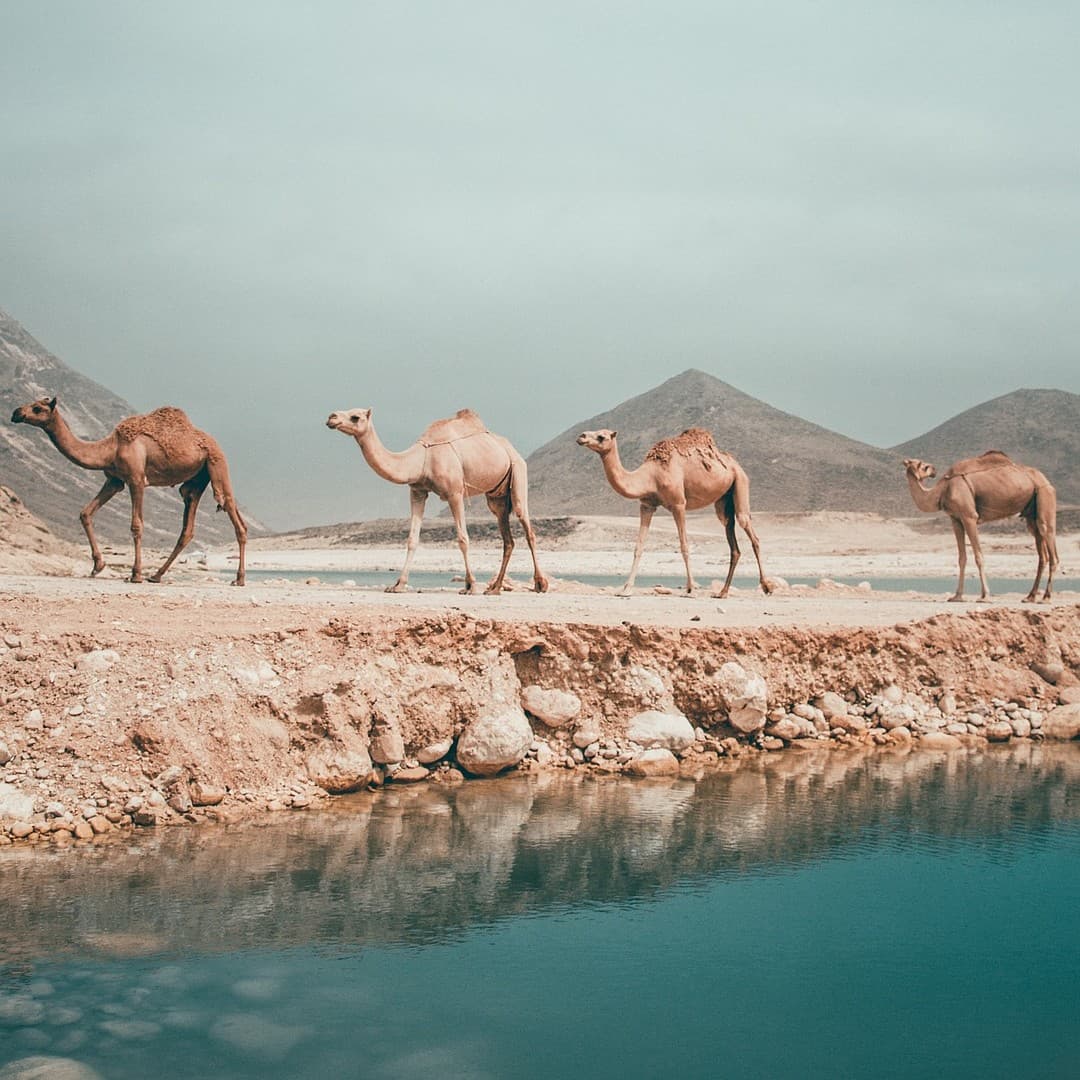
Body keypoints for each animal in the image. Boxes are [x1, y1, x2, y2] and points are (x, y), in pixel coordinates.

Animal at [10, 395, 247, 583]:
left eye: (37, 408)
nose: (15, 412)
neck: (111, 448)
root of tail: (215, 443)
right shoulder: (115, 481)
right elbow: (85, 512)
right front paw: (98, 566)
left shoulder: (136, 479)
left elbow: (136, 526)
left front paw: (135, 574)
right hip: (196, 480)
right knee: (188, 526)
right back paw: (157, 576)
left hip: (217, 465)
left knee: (232, 511)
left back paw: (239, 579)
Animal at [324, 406, 548, 596]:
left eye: (355, 417)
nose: (331, 417)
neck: (423, 459)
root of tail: (510, 448)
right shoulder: (417, 491)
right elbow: (412, 539)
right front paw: (398, 585)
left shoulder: (455, 492)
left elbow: (463, 538)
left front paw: (471, 585)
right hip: (497, 498)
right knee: (507, 539)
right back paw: (494, 589)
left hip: (518, 471)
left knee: (526, 525)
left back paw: (540, 584)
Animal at [578, 425, 773, 600]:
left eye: (601, 437)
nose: (581, 436)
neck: (652, 475)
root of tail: (734, 464)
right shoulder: (647, 505)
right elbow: (638, 546)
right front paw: (626, 590)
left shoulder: (679, 504)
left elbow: (684, 546)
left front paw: (691, 589)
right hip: (724, 500)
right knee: (732, 539)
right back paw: (722, 592)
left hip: (741, 482)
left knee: (750, 530)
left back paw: (766, 587)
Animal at [898, 447, 1058, 600]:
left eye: (922, 465)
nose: (934, 469)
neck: (943, 489)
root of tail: (1045, 479)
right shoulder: (956, 519)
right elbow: (962, 558)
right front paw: (957, 596)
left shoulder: (969, 516)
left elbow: (979, 556)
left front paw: (985, 595)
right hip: (1031, 513)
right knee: (1041, 551)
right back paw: (1030, 597)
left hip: (1045, 494)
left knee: (1048, 538)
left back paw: (1046, 597)